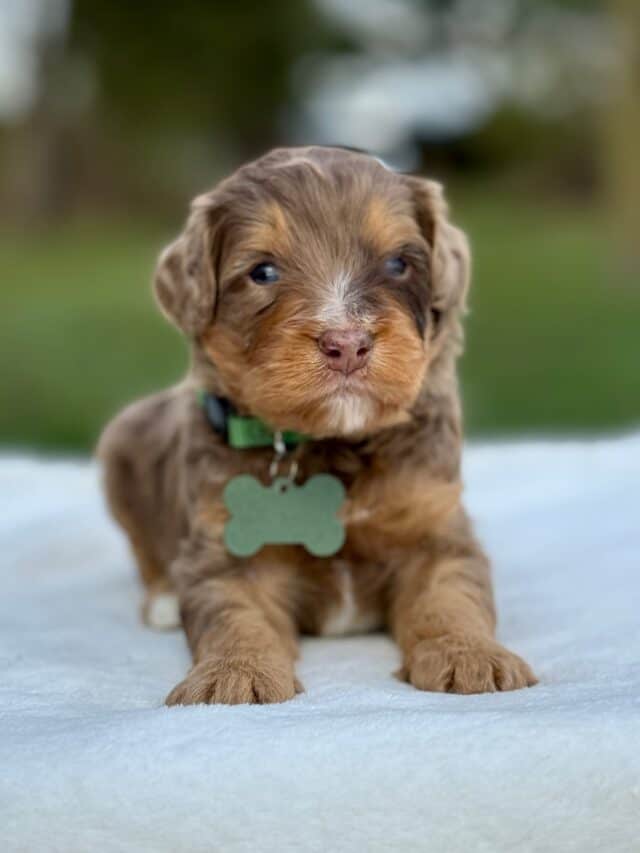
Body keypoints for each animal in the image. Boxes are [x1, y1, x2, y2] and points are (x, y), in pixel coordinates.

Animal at [99, 148, 536, 704]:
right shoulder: (229, 546)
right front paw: (233, 674)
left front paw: (471, 655)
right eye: (263, 272)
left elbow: (452, 593)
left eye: (399, 264)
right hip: (123, 449)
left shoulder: (433, 522)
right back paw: (163, 600)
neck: (334, 444)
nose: (346, 343)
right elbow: (234, 614)